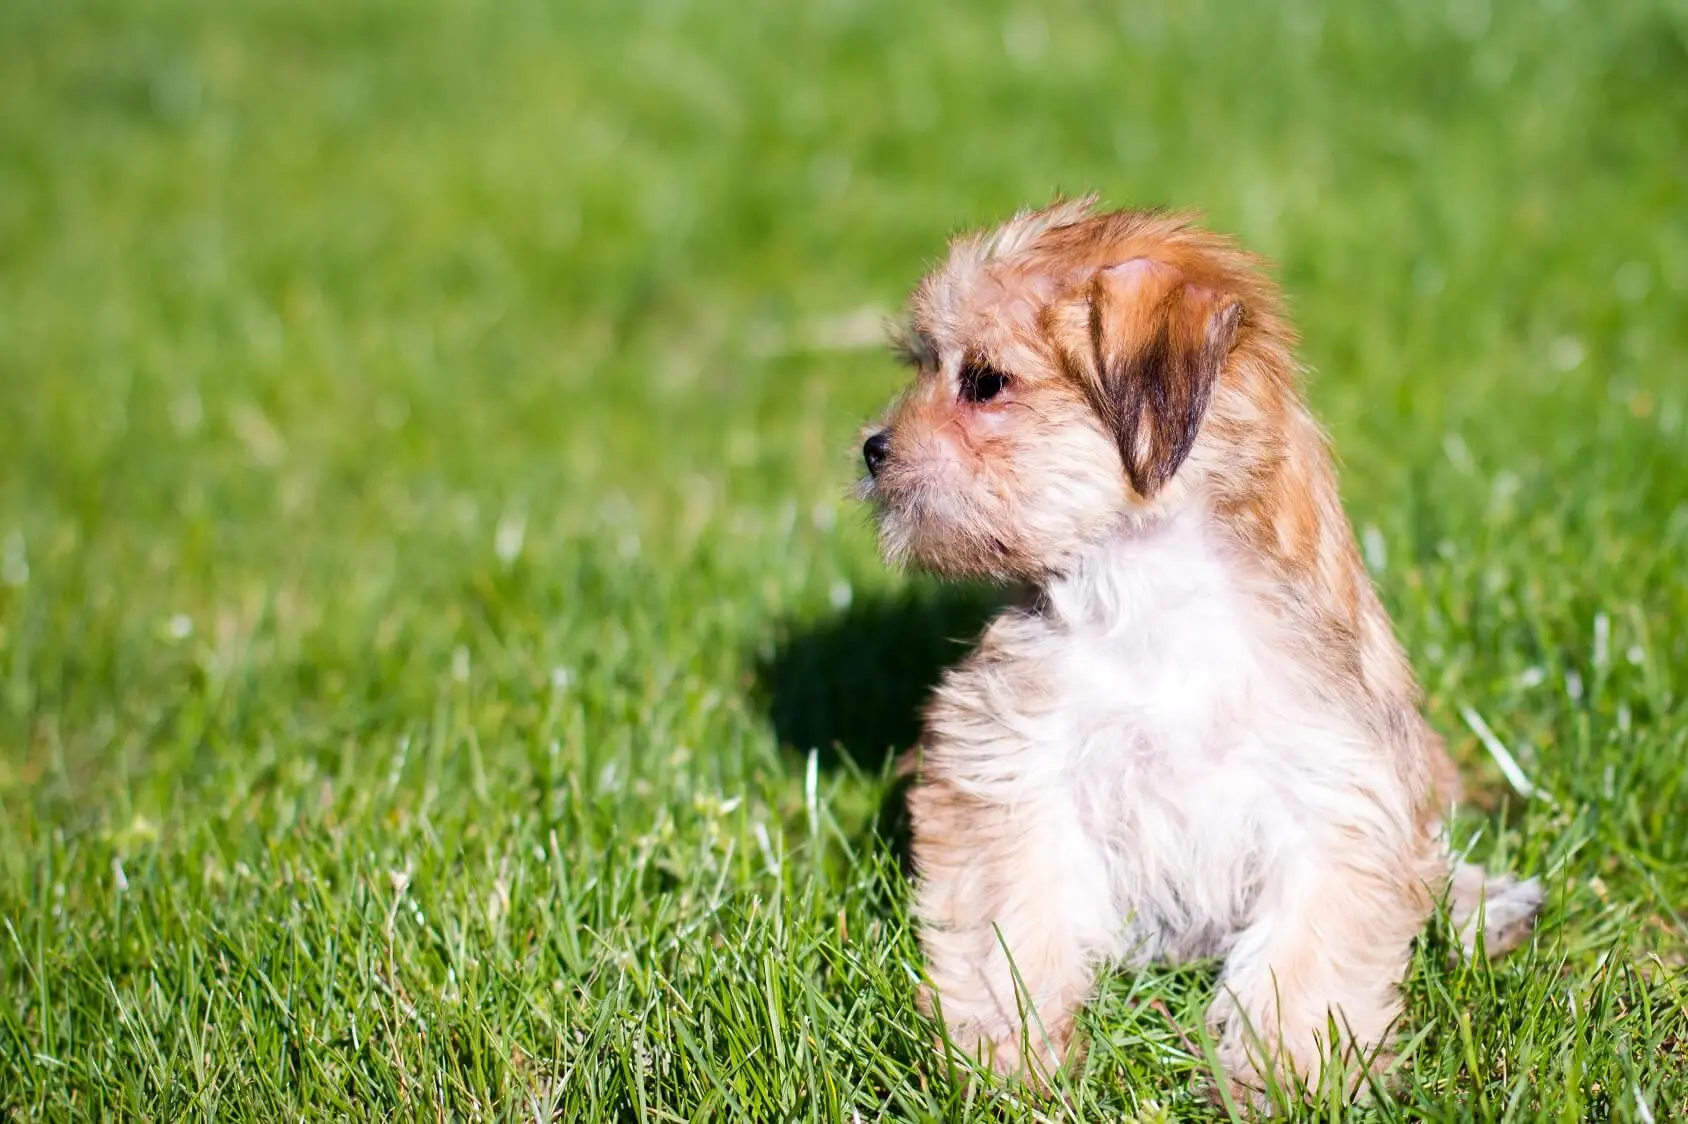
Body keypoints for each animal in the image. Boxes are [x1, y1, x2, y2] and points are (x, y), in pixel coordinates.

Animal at [857, 194, 1546, 1100]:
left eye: (985, 382)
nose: (873, 448)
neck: (1152, 597)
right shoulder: (1009, 771)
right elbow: (1011, 928)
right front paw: (1006, 1059)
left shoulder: (1334, 792)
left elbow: (1310, 953)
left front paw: (1285, 1076)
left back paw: (1486, 907)